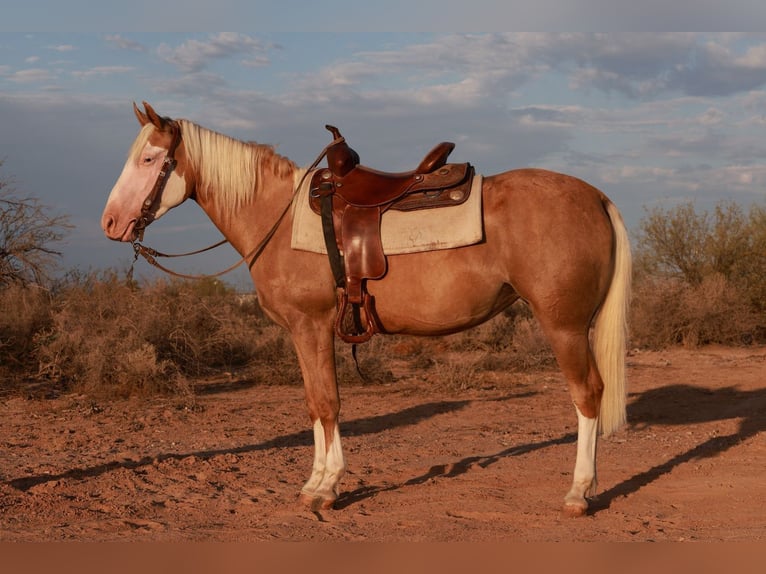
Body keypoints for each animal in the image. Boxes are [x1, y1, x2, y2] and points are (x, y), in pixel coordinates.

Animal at [101, 102, 631, 516]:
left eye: (149, 158)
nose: (110, 223)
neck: (277, 215)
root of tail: (596, 196)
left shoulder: (311, 326)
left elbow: (327, 403)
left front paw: (327, 487)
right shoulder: (302, 333)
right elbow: (314, 405)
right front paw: (313, 482)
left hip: (564, 325)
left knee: (588, 394)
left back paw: (579, 493)